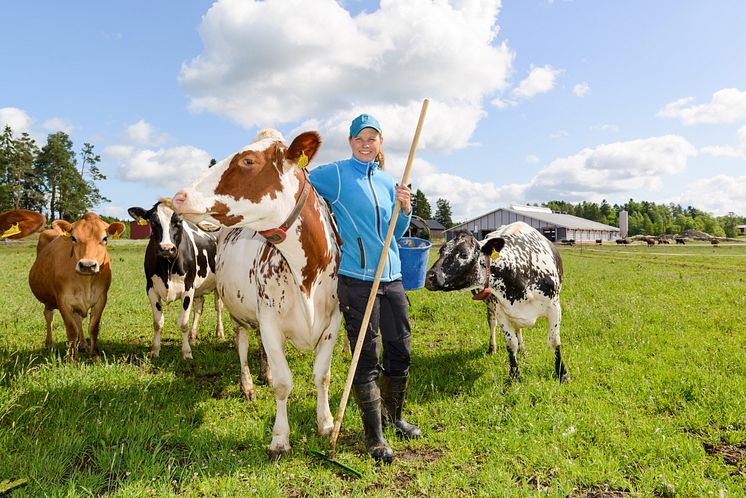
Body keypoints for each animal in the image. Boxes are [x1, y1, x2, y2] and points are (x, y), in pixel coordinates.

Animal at [28, 210, 125, 358]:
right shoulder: (63, 300)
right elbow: (71, 330)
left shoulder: (101, 298)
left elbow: (93, 328)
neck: (86, 282)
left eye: (105, 238)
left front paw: (94, 356)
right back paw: (50, 343)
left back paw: (83, 344)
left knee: (78, 319)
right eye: (73, 238)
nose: (87, 265)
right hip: (49, 301)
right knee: (49, 316)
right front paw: (72, 357)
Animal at [126, 200, 224, 360]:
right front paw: (155, 349)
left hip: (217, 285)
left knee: (218, 307)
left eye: (179, 221)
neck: (167, 267)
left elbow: (183, 323)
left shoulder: (188, 288)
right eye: (153, 222)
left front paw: (186, 352)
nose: (166, 248)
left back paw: (220, 332)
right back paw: (193, 335)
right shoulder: (151, 289)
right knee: (199, 306)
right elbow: (158, 322)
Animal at [171, 128, 340, 460]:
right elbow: (284, 385)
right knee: (243, 344)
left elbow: (322, 375)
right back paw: (249, 383)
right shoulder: (271, 321)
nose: (179, 196)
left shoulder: (334, 322)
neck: (307, 275)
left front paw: (326, 424)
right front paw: (279, 440)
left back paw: (265, 373)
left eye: (248, 160)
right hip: (237, 311)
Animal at [422, 224, 568, 384]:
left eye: (464, 254)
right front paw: (514, 375)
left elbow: (554, 341)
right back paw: (493, 348)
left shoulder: (554, 306)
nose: (428, 278)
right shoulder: (500, 311)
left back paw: (523, 349)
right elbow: (511, 344)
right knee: (493, 324)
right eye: (441, 252)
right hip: (491, 307)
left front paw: (562, 374)